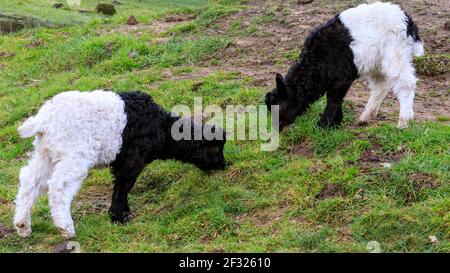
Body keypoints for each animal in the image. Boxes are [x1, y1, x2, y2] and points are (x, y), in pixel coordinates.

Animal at [14, 90, 227, 237]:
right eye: (217, 148)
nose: (224, 165)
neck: (162, 126)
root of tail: (43, 121)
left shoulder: (121, 161)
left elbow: (120, 183)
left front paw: (119, 213)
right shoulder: (133, 157)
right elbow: (125, 183)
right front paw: (120, 216)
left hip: (46, 154)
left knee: (29, 180)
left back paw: (23, 225)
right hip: (74, 156)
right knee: (58, 187)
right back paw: (66, 228)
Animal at [266, 1, 424, 129]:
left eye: (278, 106)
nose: (276, 128)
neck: (317, 60)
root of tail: (407, 20)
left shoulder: (342, 77)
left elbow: (333, 99)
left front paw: (323, 125)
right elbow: (337, 99)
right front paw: (335, 123)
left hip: (395, 53)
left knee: (406, 83)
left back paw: (403, 121)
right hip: (376, 62)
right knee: (381, 86)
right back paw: (365, 117)